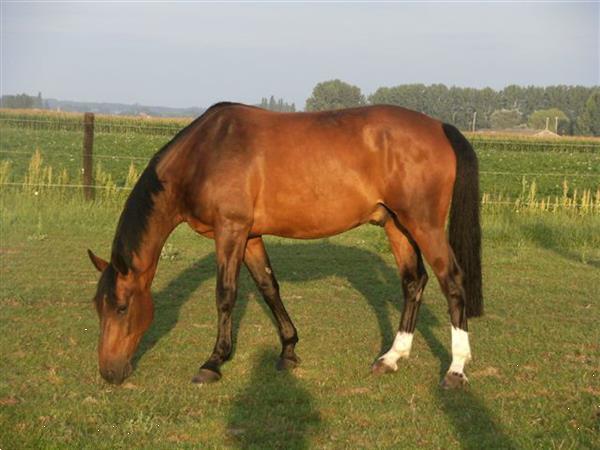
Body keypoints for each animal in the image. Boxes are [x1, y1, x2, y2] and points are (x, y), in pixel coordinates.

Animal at [88, 101, 482, 386]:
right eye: (97, 307)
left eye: (121, 307)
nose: (109, 372)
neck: (204, 152)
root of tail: (440, 127)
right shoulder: (249, 236)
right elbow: (268, 287)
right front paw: (288, 350)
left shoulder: (230, 230)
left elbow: (225, 295)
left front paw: (213, 362)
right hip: (395, 224)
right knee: (414, 282)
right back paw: (391, 357)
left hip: (424, 224)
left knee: (452, 281)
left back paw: (456, 369)